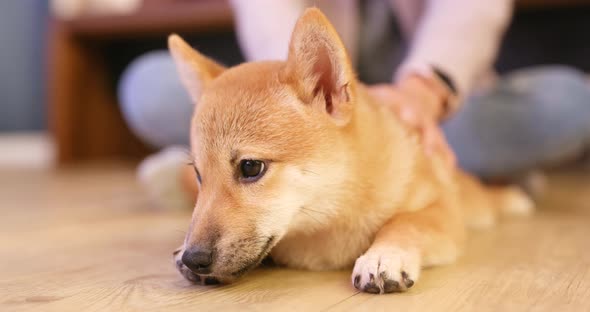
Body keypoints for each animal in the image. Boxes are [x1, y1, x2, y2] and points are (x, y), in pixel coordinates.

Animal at [168, 8, 536, 294]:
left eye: (250, 168)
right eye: (198, 175)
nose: (193, 259)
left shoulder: (442, 211)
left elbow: (407, 222)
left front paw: (385, 254)